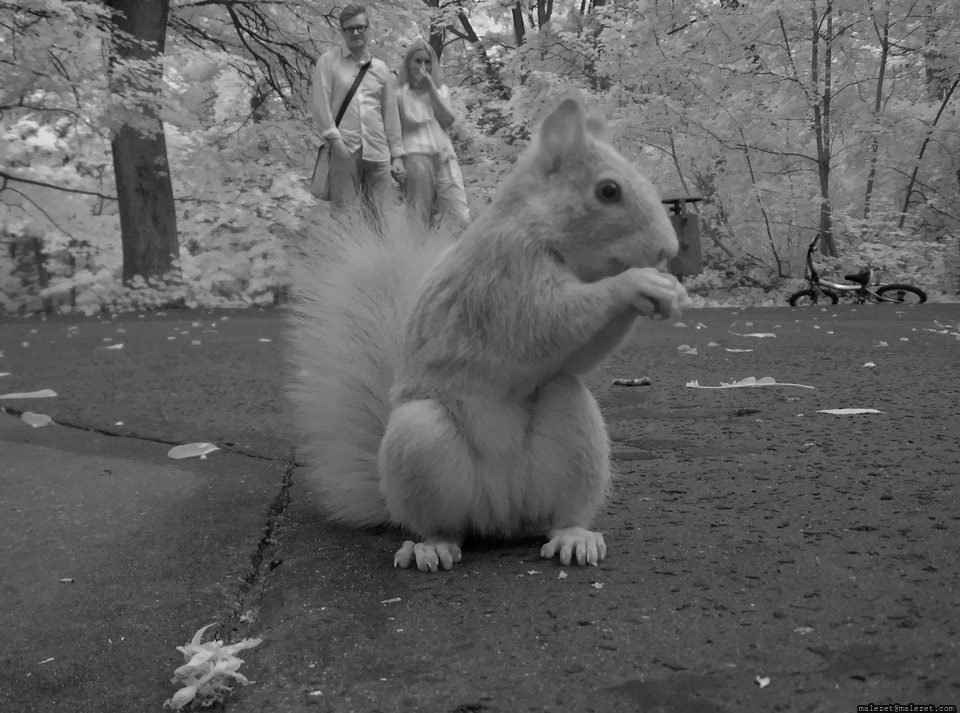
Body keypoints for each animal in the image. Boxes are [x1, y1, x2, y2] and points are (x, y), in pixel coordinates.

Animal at [289, 95, 690, 572]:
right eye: (608, 191)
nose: (669, 249)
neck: (538, 227)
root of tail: (501, 513)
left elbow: (575, 356)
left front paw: (670, 291)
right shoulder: (502, 280)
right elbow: (547, 321)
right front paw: (635, 283)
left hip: (573, 431)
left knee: (562, 509)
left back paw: (575, 538)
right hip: (419, 441)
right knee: (442, 525)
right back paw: (431, 547)